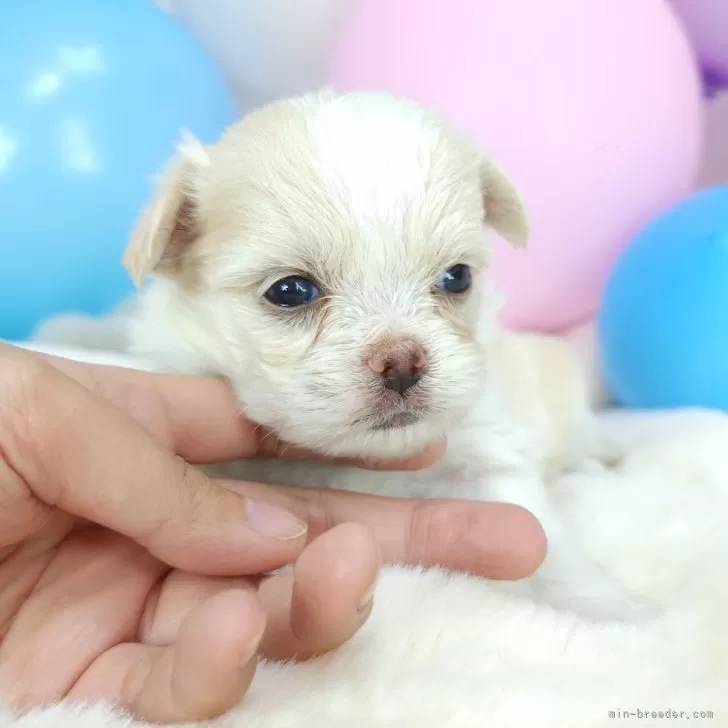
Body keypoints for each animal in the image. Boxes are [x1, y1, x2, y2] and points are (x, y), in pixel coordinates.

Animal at [125, 88, 644, 616]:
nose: (402, 363)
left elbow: (543, 541)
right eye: (289, 290)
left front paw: (608, 610)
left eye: (457, 277)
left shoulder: (487, 452)